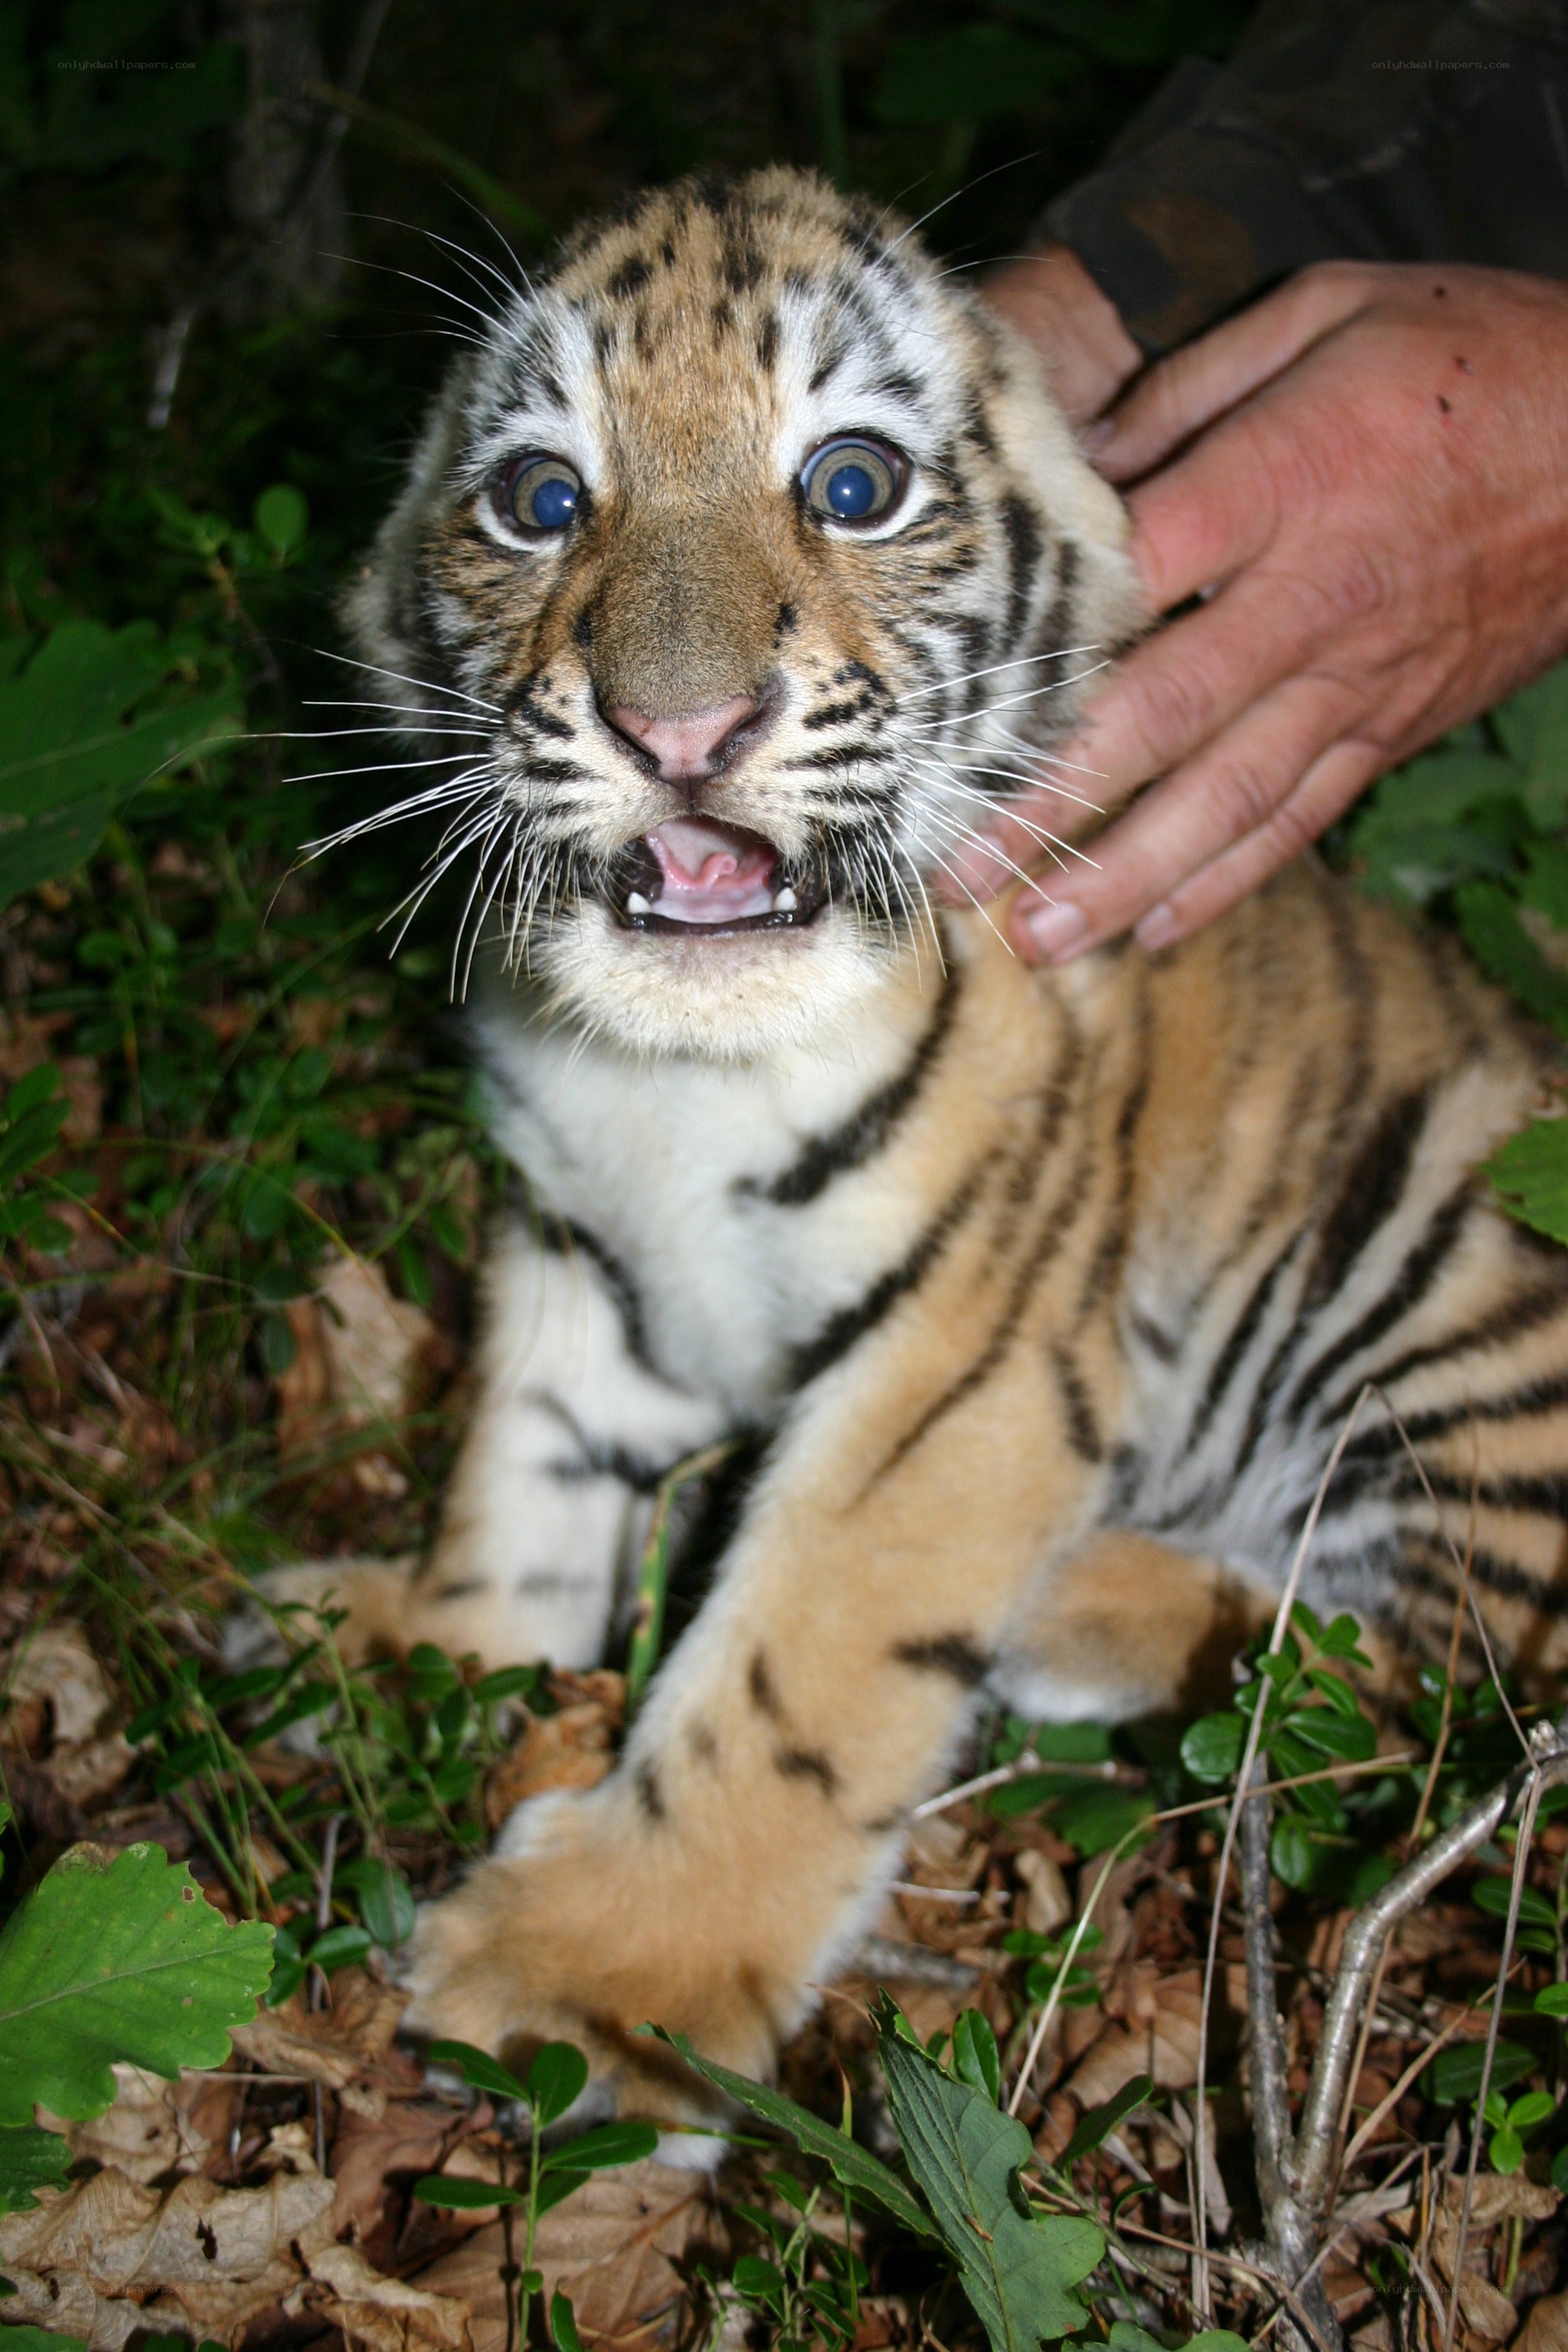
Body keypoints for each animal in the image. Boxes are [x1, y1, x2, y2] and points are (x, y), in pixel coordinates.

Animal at [296, 165, 1568, 2120]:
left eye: (850, 483)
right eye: (539, 499)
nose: (676, 727)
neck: (675, 1076)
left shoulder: (969, 1340)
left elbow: (794, 1665)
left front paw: (600, 1980)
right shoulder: (577, 1241)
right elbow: (525, 1467)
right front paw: (439, 1645)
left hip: (1450, 1272)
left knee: (1430, 1651)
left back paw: (1080, 1608)